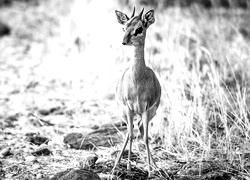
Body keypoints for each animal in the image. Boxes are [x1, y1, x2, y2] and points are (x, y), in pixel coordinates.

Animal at [114, 7, 161, 176]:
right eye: (124, 27)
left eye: (139, 29)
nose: (124, 41)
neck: (137, 82)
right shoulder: (129, 108)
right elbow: (132, 135)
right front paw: (128, 167)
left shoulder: (146, 109)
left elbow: (146, 138)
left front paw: (150, 170)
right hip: (125, 113)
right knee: (130, 132)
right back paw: (117, 164)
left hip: (148, 113)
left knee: (140, 129)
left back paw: (154, 165)